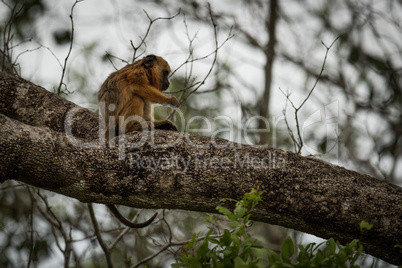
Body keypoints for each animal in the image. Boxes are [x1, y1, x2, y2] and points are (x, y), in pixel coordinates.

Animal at [97, 54, 179, 228]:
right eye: (166, 73)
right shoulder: (136, 73)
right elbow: (137, 86)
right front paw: (169, 100)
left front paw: (162, 124)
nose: (168, 82)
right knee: (137, 97)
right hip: (118, 124)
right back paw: (133, 127)